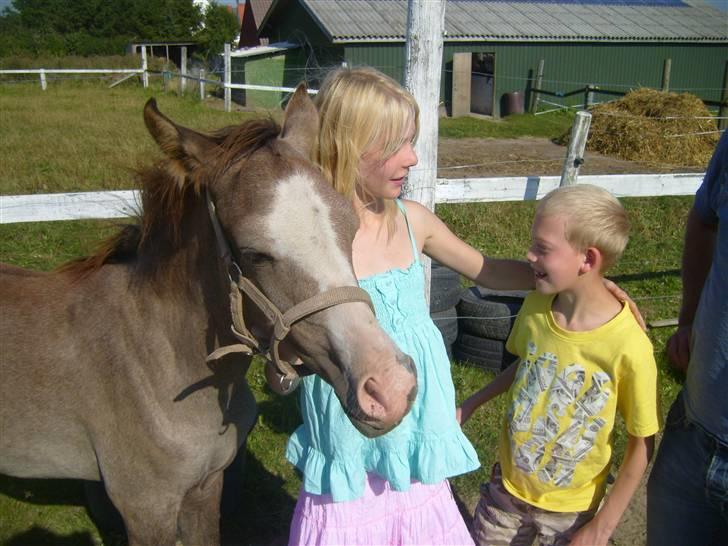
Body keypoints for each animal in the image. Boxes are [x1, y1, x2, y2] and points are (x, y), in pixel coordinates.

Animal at [0, 85, 416, 544]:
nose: (390, 389)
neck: (156, 362)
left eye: (351, 227)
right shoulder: (146, 508)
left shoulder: (206, 486)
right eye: (254, 254)